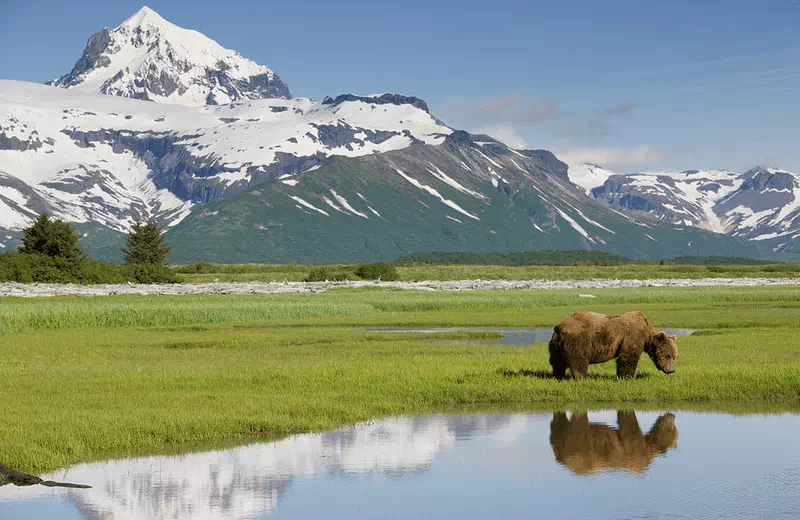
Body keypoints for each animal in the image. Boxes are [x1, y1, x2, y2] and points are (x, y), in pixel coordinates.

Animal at [552, 310, 680, 380]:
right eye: (668, 355)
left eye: (674, 357)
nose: (671, 370)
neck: (646, 333)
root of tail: (561, 327)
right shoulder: (632, 336)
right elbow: (628, 357)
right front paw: (627, 377)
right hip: (579, 340)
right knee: (579, 360)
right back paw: (581, 377)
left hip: (557, 345)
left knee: (557, 362)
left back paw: (559, 375)